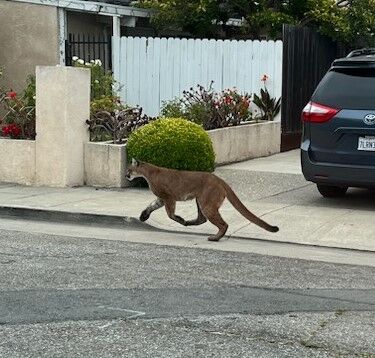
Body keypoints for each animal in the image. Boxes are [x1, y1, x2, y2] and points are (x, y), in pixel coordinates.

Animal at [126, 161, 280, 242]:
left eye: (129, 169)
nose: (126, 175)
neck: (147, 172)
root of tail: (219, 179)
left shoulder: (168, 197)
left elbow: (170, 214)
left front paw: (180, 219)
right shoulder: (161, 198)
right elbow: (151, 206)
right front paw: (143, 216)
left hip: (206, 203)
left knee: (223, 224)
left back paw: (214, 237)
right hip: (200, 200)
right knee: (202, 219)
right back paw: (189, 223)